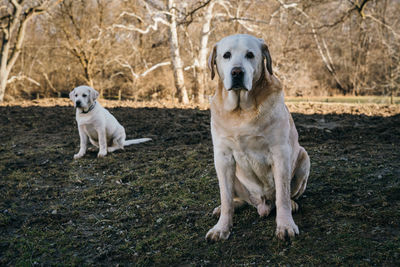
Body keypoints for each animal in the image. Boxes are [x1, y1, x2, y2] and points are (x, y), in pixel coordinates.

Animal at [206, 34, 310, 242]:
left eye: (250, 55)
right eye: (226, 55)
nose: (237, 72)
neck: (241, 111)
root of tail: (261, 204)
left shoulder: (280, 153)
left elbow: (282, 196)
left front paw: (285, 225)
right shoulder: (222, 157)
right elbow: (225, 197)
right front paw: (222, 227)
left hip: (304, 158)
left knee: (287, 196)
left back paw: (292, 205)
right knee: (236, 199)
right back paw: (227, 207)